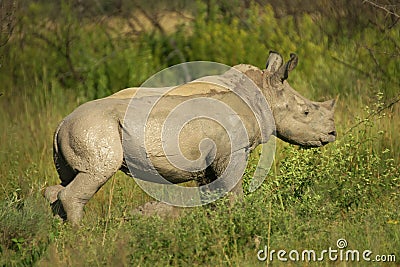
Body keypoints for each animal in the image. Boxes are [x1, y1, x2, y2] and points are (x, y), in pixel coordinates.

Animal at [43, 51, 338, 225]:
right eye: (306, 111)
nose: (332, 134)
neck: (264, 91)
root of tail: (60, 124)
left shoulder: (209, 160)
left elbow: (213, 195)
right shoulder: (231, 152)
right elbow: (234, 192)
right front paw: (240, 219)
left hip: (79, 130)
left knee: (69, 179)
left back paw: (61, 232)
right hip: (94, 128)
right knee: (95, 174)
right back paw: (80, 235)